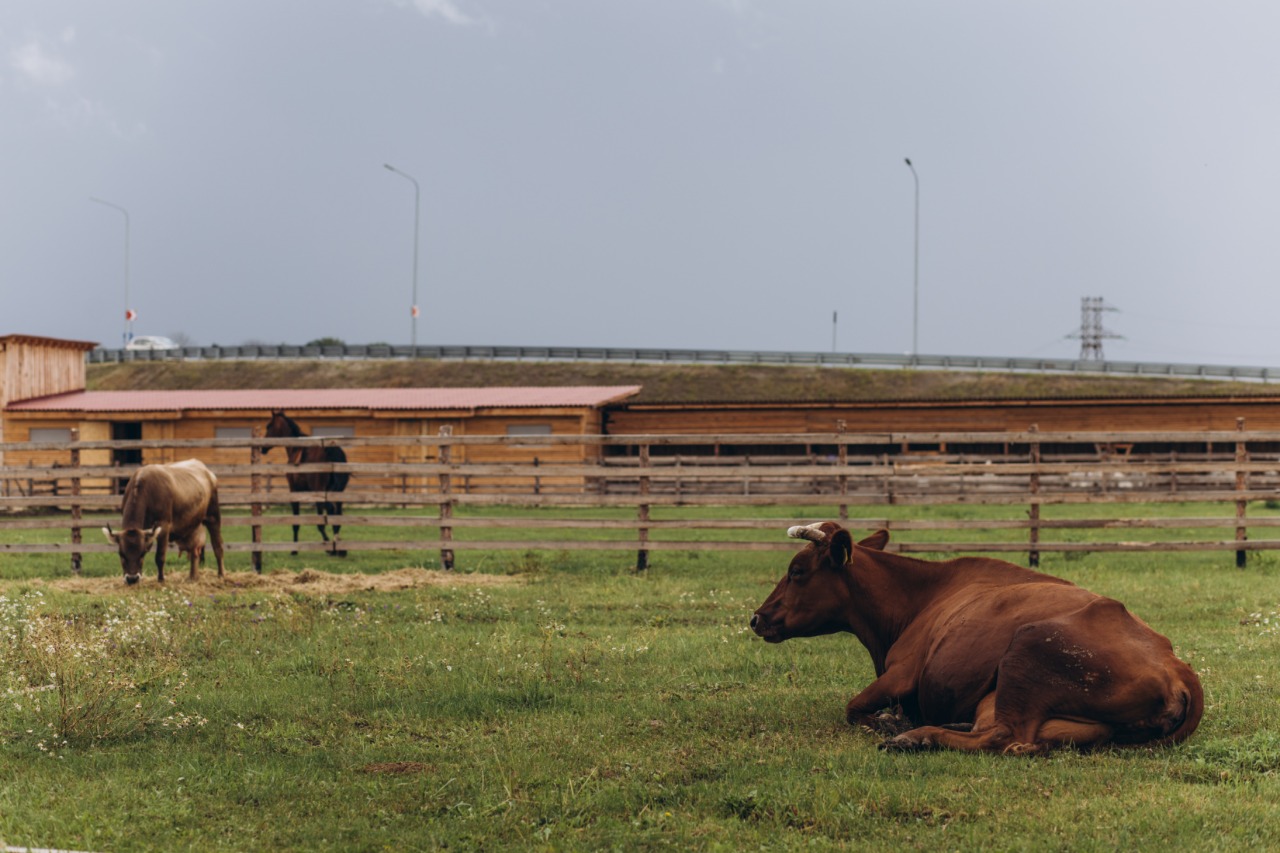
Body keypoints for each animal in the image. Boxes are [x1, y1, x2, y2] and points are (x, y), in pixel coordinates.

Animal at [261, 409, 350, 555]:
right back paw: (338, 547)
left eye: (269, 426)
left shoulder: (295, 490)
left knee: (330, 511)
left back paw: (332, 547)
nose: (262, 448)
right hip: (337, 493)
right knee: (338, 516)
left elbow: (297, 522)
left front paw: (294, 549)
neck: (296, 450)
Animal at [747, 517, 1203, 753]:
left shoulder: (902, 672)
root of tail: (1177, 665)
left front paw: (889, 722)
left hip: (1028, 648)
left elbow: (854, 707)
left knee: (1004, 736)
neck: (918, 597)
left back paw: (916, 737)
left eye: (797, 571)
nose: (756, 618)